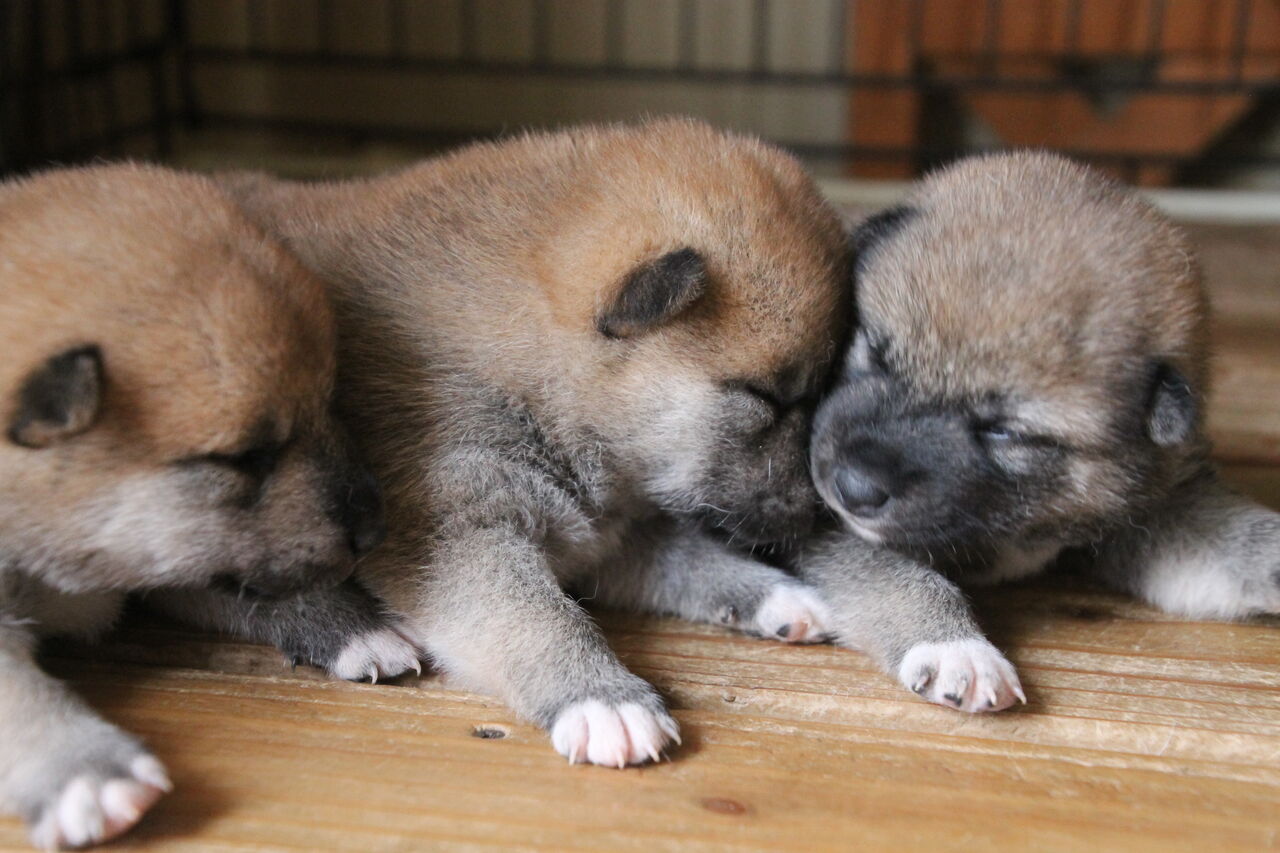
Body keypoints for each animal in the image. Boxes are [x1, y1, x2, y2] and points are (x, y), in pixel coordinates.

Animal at [0, 164, 409, 849]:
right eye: (246, 456)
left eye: (331, 400)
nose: (375, 530)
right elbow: (13, 689)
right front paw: (85, 770)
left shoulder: (166, 561)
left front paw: (355, 626)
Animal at [216, 118, 851, 765]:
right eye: (766, 396)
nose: (823, 512)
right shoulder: (459, 533)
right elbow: (535, 617)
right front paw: (603, 700)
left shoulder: (602, 537)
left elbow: (695, 561)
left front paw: (781, 596)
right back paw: (356, 634)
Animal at [802, 151, 1279, 712]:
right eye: (876, 354)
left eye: (1003, 432)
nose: (851, 489)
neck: (1021, 517)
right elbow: (892, 574)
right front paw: (956, 648)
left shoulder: (1152, 511)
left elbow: (1233, 541)